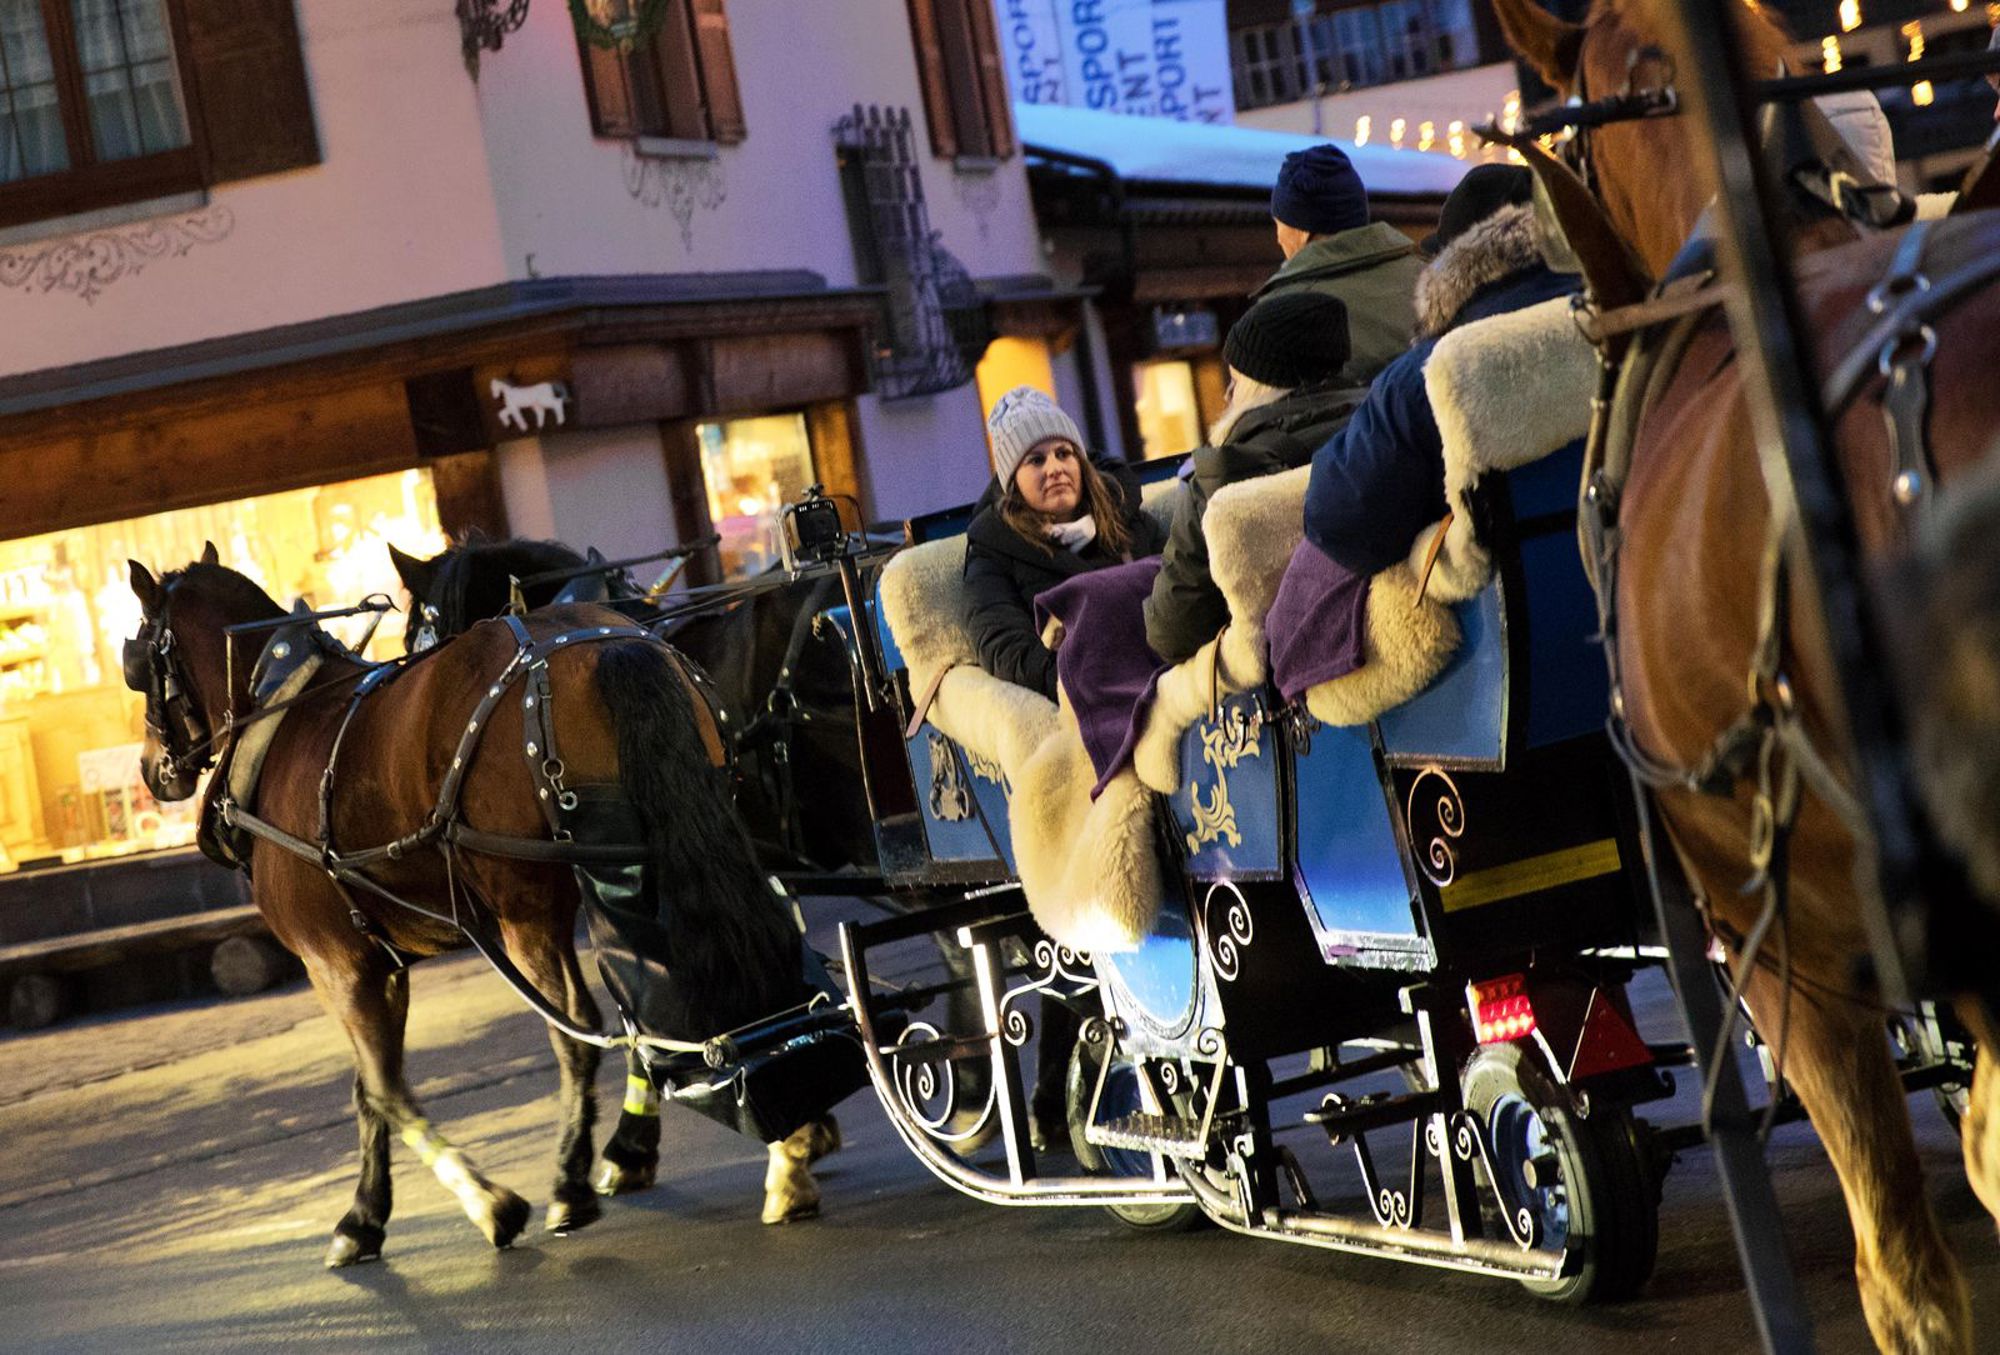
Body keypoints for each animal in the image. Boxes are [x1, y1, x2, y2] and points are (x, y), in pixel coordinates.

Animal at [123, 546, 833, 1268]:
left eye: (138, 661)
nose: (152, 770)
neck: (277, 715)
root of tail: (612, 643)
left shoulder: (336, 962)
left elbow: (384, 1087)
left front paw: (487, 1203)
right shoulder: (383, 961)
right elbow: (367, 1089)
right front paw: (365, 1213)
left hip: (533, 905)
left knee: (583, 1026)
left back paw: (573, 1181)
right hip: (677, 841)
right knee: (729, 962)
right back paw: (790, 1141)